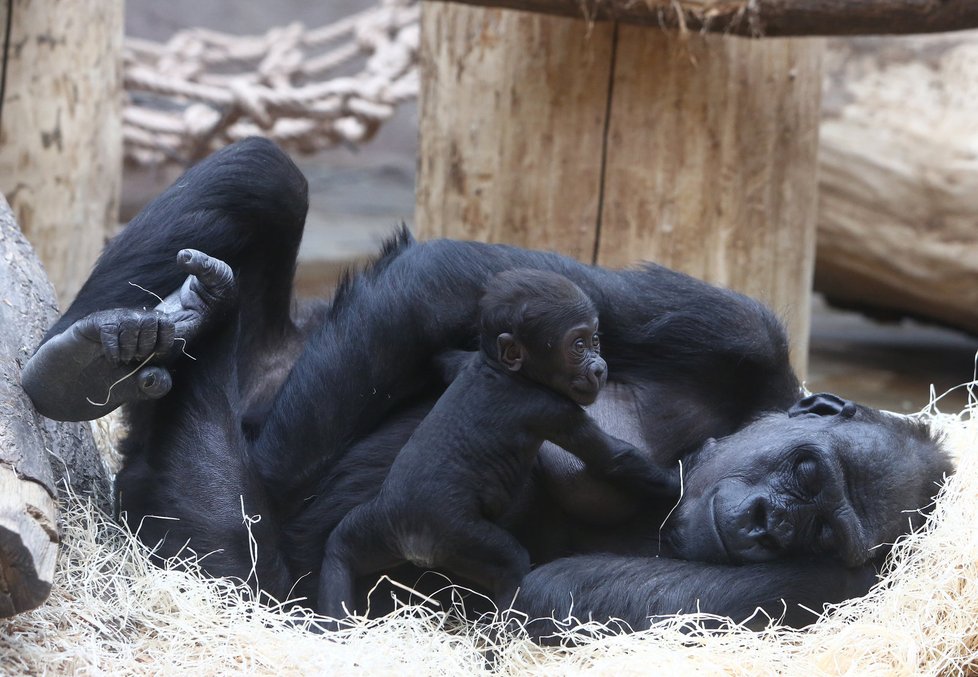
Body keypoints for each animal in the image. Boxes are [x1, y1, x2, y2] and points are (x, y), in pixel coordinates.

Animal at [316, 268, 668, 616]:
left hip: (379, 525)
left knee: (340, 548)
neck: (502, 370)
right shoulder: (552, 408)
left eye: (595, 340)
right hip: (455, 539)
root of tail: (409, 538)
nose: (598, 369)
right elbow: (614, 457)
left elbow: (442, 357)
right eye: (578, 345)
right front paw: (673, 487)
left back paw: (333, 619)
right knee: (510, 565)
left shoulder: (466, 364)